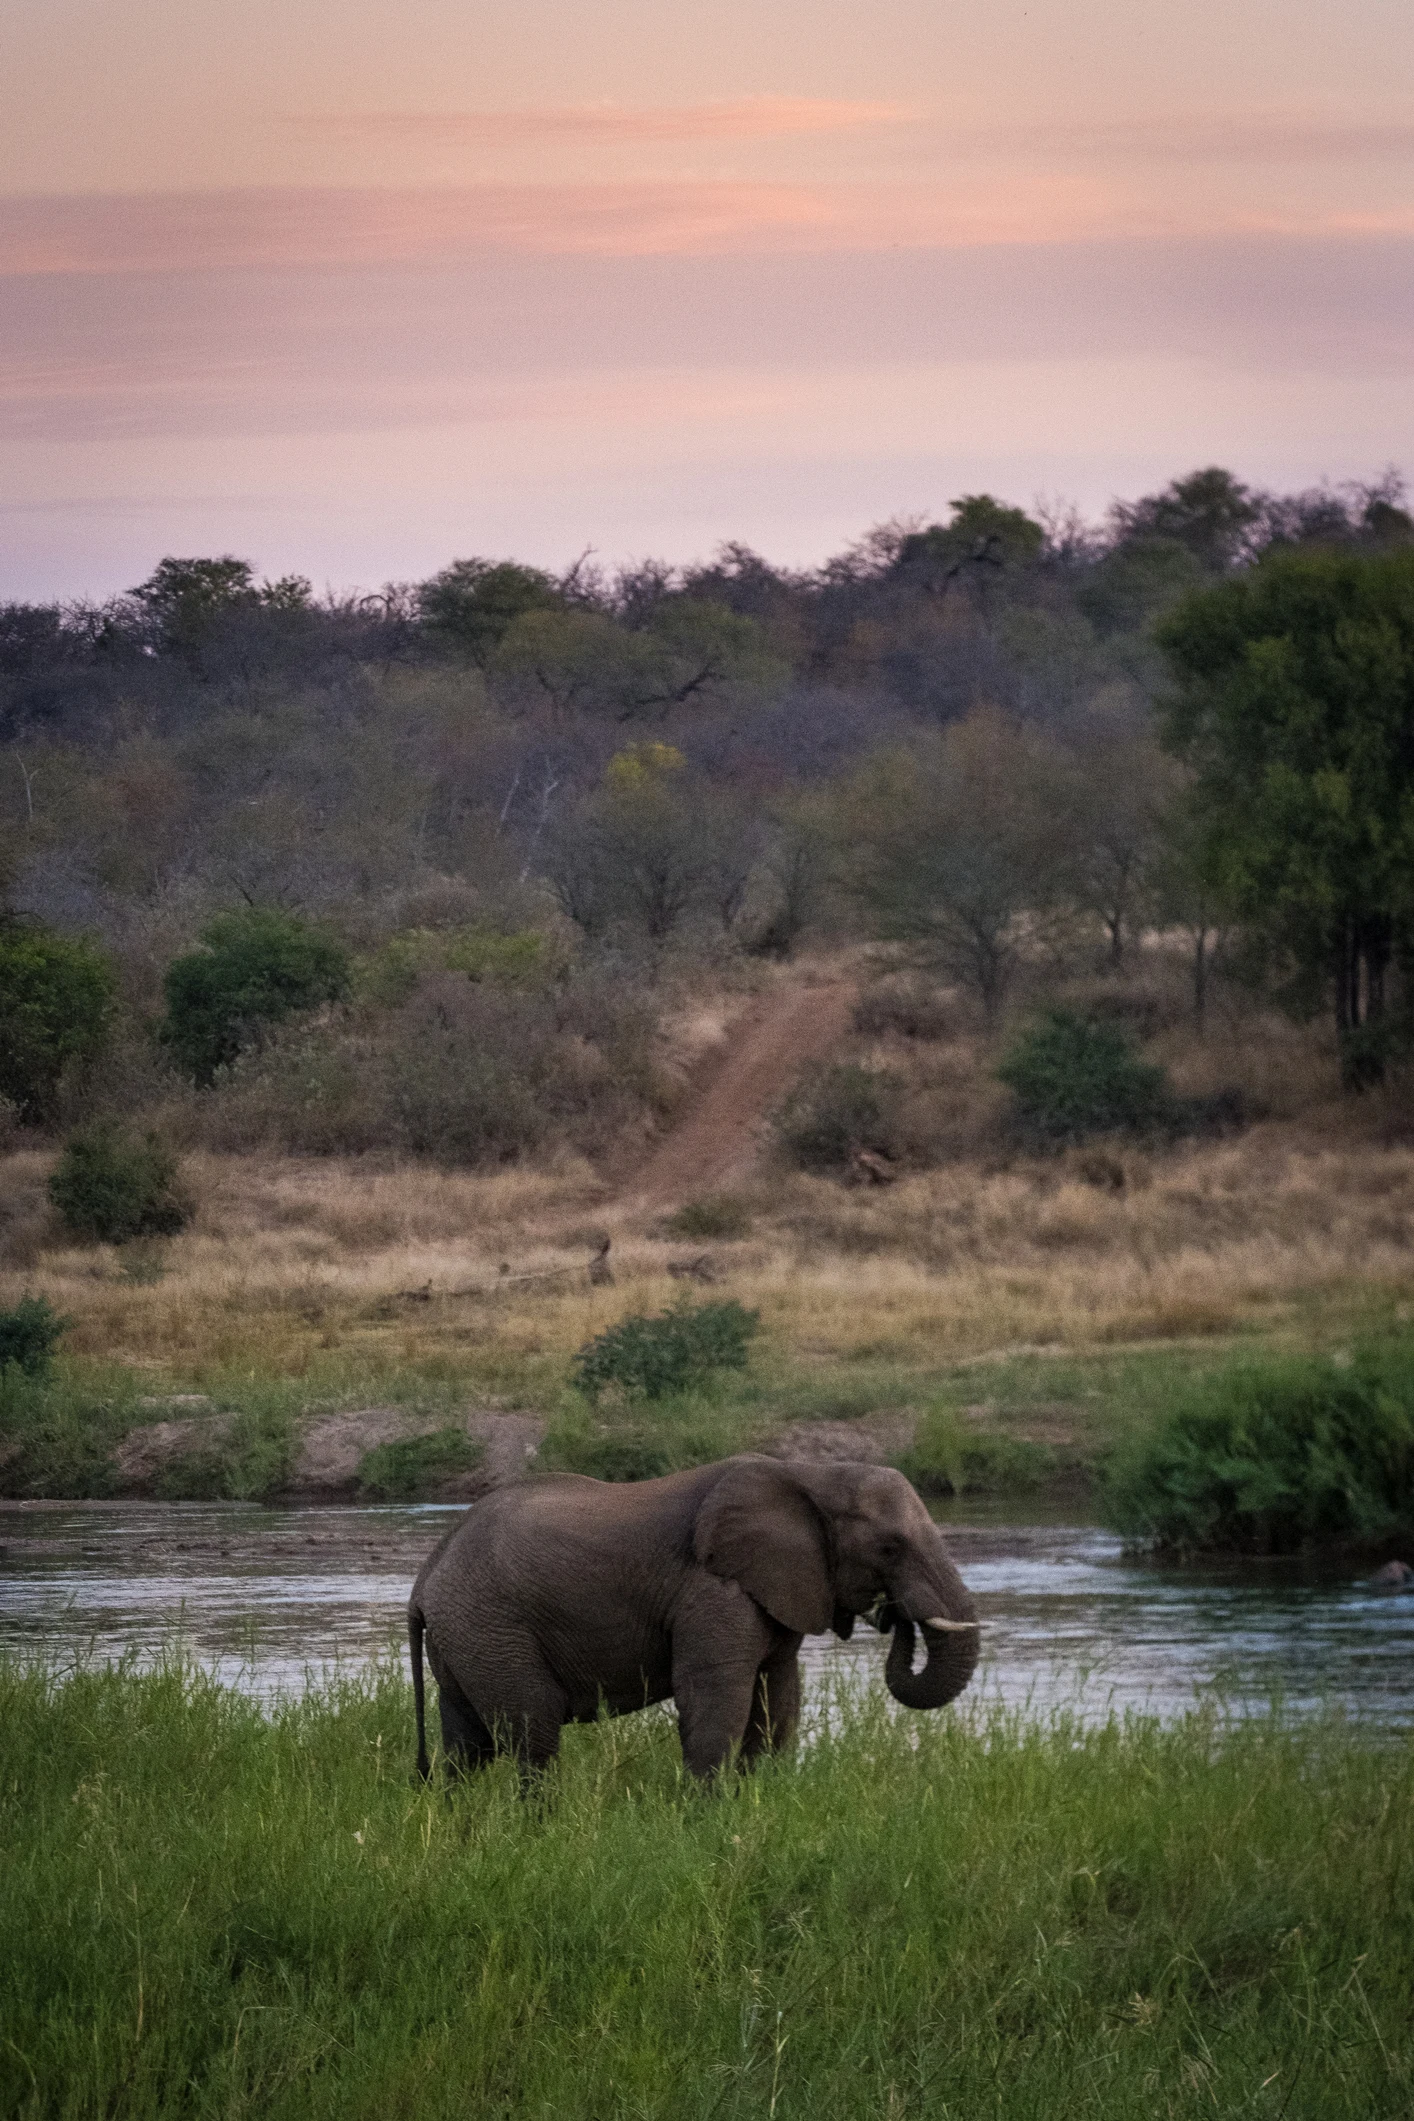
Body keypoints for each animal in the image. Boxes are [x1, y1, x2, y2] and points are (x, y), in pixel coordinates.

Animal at [409, 1450, 979, 1781]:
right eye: (889, 1548)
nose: (893, 1614)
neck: (811, 1474)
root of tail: (426, 1575)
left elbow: (777, 1694)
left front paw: (760, 1798)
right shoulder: (713, 1588)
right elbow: (716, 1694)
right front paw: (706, 1819)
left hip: (466, 1635)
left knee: (467, 1743)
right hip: (490, 1626)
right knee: (533, 1731)